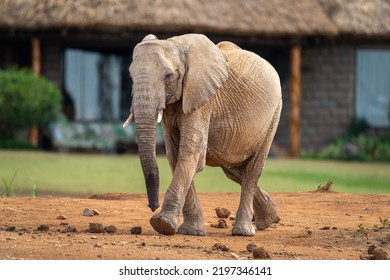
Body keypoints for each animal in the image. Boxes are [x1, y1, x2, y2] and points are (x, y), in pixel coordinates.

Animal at [123, 32, 282, 236]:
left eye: (168, 76)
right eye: (130, 75)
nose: (152, 206)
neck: (176, 44)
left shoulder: (202, 99)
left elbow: (191, 153)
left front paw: (162, 224)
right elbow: (175, 156)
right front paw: (191, 231)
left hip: (274, 114)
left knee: (253, 169)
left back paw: (243, 231)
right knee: (232, 169)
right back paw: (269, 218)